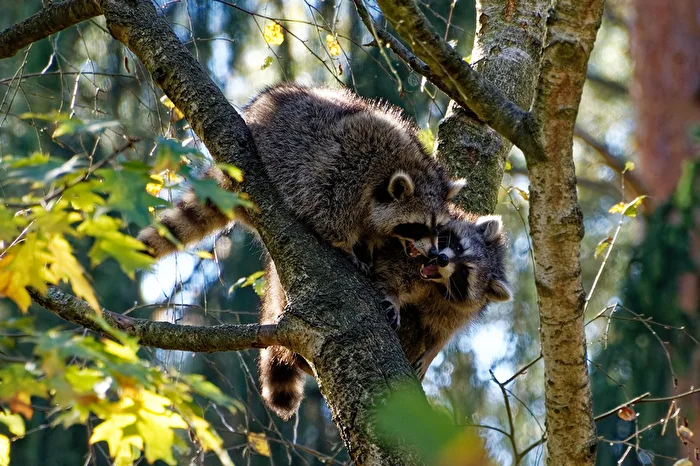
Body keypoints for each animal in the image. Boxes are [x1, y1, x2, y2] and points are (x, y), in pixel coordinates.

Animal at [137, 84, 466, 266]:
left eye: (438, 227)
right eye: (417, 226)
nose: (434, 254)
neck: (405, 163)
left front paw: (372, 241)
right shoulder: (344, 172)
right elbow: (327, 215)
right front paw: (348, 247)